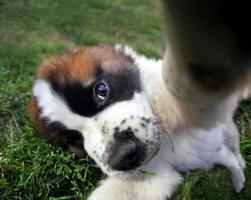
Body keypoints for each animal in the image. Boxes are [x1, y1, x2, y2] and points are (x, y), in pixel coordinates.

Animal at [28, 0, 250, 199]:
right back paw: (239, 178)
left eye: (101, 89)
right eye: (74, 140)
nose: (122, 156)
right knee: (226, 154)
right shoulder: (153, 174)